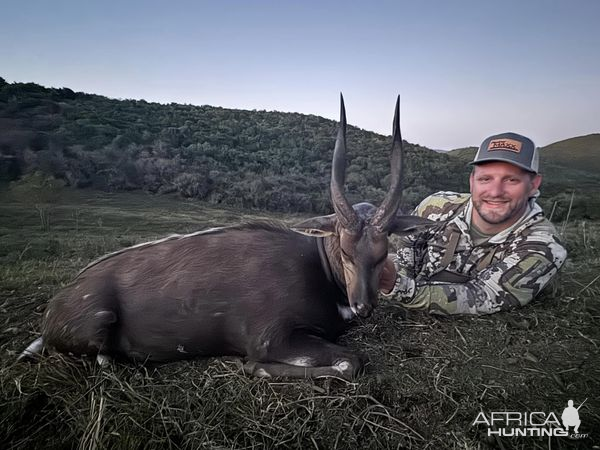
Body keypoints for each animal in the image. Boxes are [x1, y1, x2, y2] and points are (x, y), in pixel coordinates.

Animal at [19, 96, 432, 380]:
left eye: (382, 252)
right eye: (345, 251)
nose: (363, 307)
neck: (317, 267)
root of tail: (54, 311)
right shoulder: (271, 338)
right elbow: (351, 361)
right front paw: (252, 367)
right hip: (99, 321)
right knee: (103, 359)